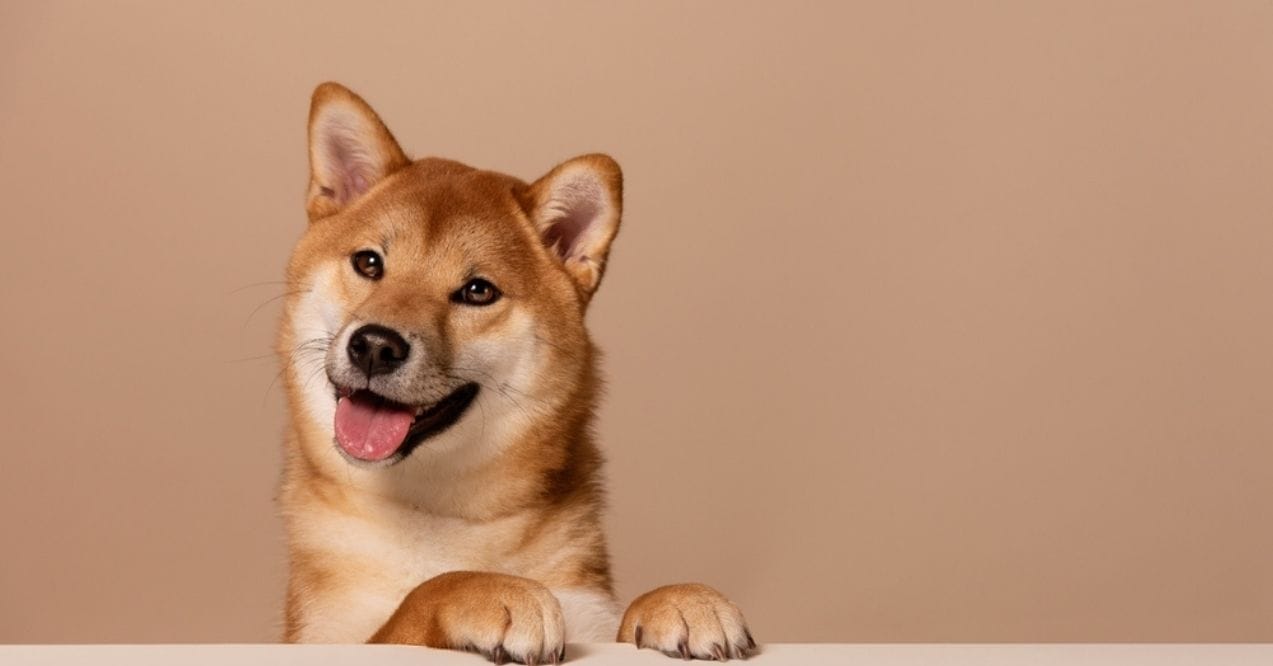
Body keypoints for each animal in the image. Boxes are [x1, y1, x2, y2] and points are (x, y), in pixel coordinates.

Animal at [276, 82, 753, 662]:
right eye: (369, 263)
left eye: (477, 291)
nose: (374, 345)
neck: (437, 515)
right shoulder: (322, 638)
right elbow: (420, 598)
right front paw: (485, 589)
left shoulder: (589, 611)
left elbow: (628, 615)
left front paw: (682, 599)